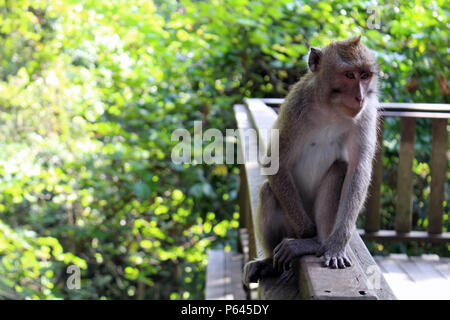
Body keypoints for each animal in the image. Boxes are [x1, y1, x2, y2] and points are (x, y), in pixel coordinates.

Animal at [243, 36, 380, 286]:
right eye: (349, 75)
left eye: (365, 76)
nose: (360, 97)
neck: (331, 108)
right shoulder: (296, 106)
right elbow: (275, 164)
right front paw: (306, 233)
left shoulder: (366, 112)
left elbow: (358, 169)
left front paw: (335, 243)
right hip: (289, 222)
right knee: (268, 191)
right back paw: (273, 260)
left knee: (339, 170)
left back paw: (319, 243)